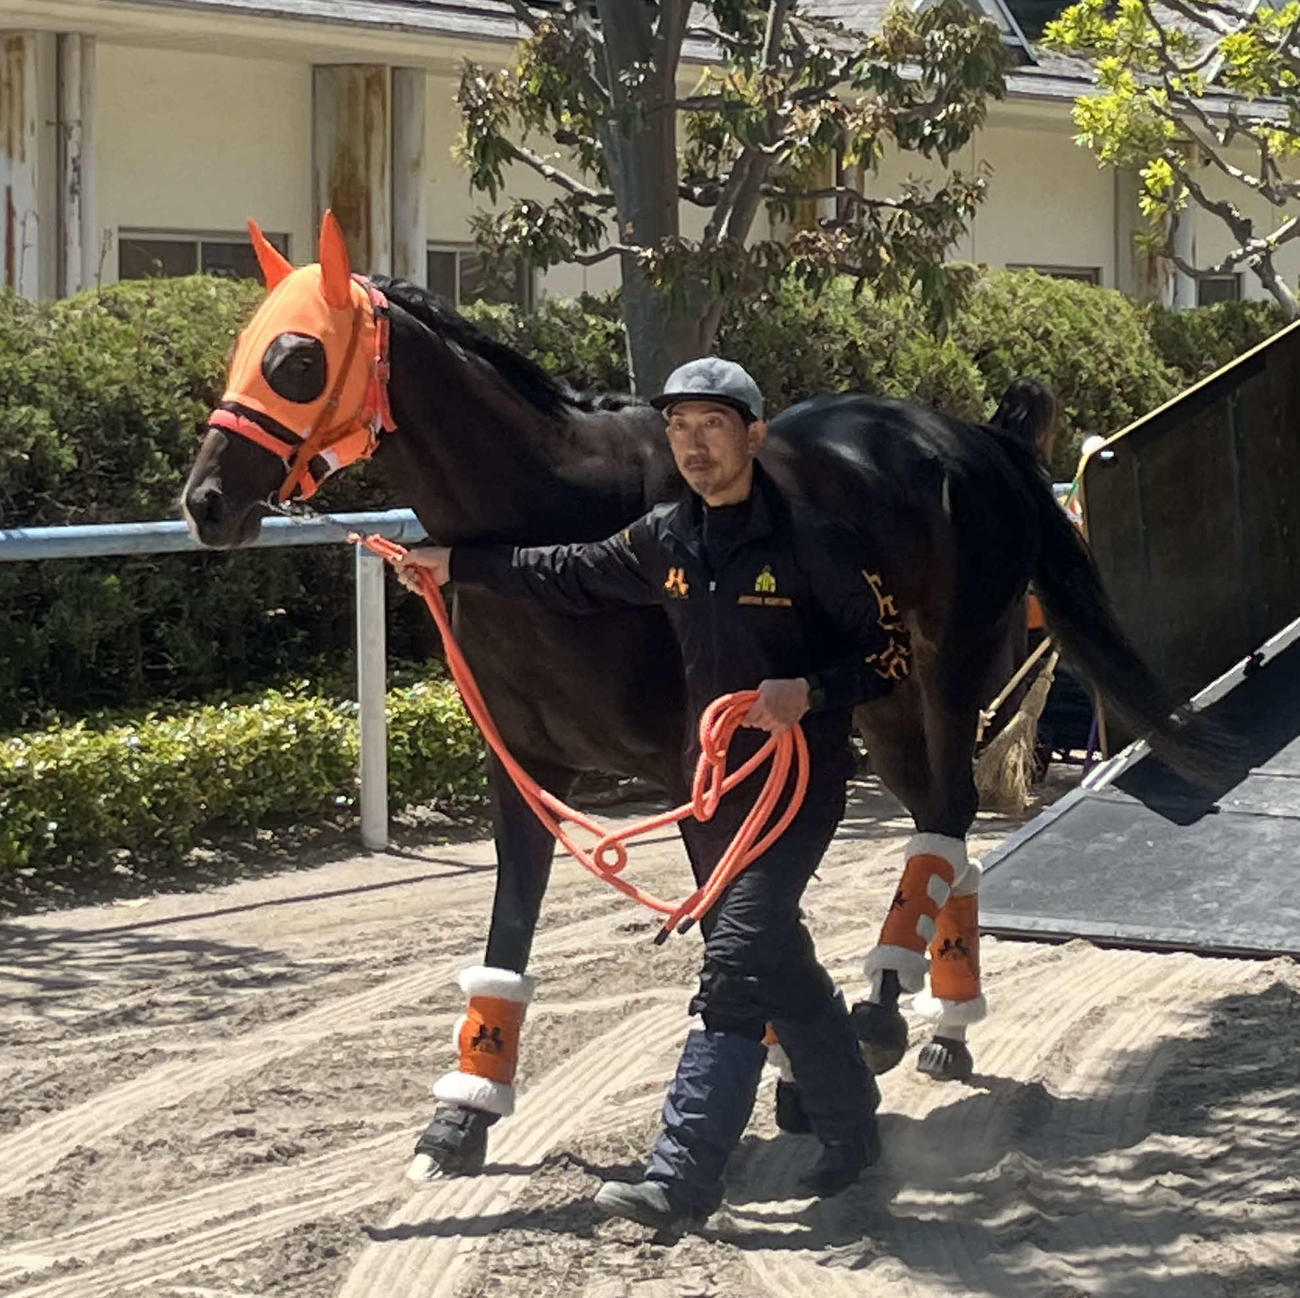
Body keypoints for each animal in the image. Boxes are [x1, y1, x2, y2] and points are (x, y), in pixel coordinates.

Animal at [182, 214, 1218, 1182]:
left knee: (948, 816)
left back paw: (896, 1015)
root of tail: (980, 440)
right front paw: (462, 1115)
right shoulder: (524, 768)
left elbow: (738, 912)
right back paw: (939, 1019)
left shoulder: (705, 765)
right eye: (243, 348)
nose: (204, 501)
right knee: (939, 823)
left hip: (947, 669)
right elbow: (512, 930)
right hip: (875, 705)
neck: (555, 514)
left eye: (298, 359)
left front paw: (796, 1076)